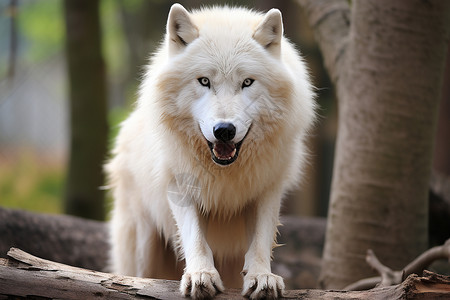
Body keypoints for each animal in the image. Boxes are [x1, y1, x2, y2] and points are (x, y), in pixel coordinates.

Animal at [107, 2, 314, 300]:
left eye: (247, 82)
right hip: (142, 247)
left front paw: (261, 276)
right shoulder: (180, 186)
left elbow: (261, 240)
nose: (224, 130)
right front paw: (200, 275)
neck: (226, 171)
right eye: (204, 81)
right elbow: (196, 238)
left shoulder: (266, 189)